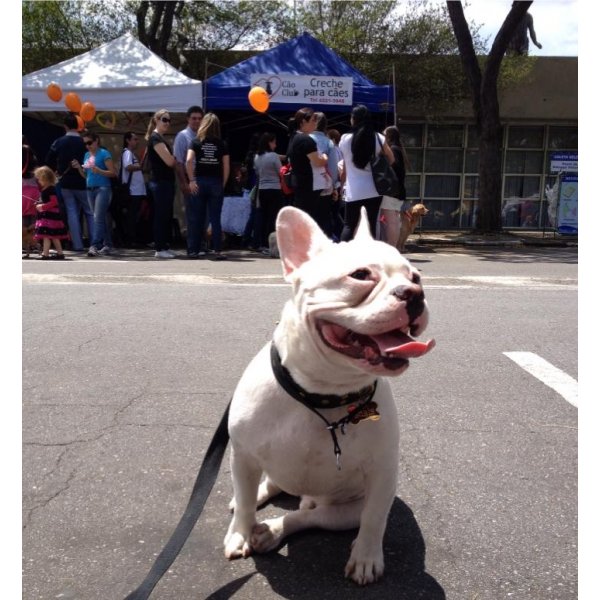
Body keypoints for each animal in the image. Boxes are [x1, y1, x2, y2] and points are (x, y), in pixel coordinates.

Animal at [225, 206, 436, 584]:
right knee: (264, 487)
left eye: (416, 276)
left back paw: (272, 531)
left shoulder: (383, 474)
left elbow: (374, 520)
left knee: (310, 516)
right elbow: (247, 502)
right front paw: (238, 533)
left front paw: (366, 558)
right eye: (361, 275)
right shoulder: (243, 454)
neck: (322, 393)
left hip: (344, 511)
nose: (414, 292)